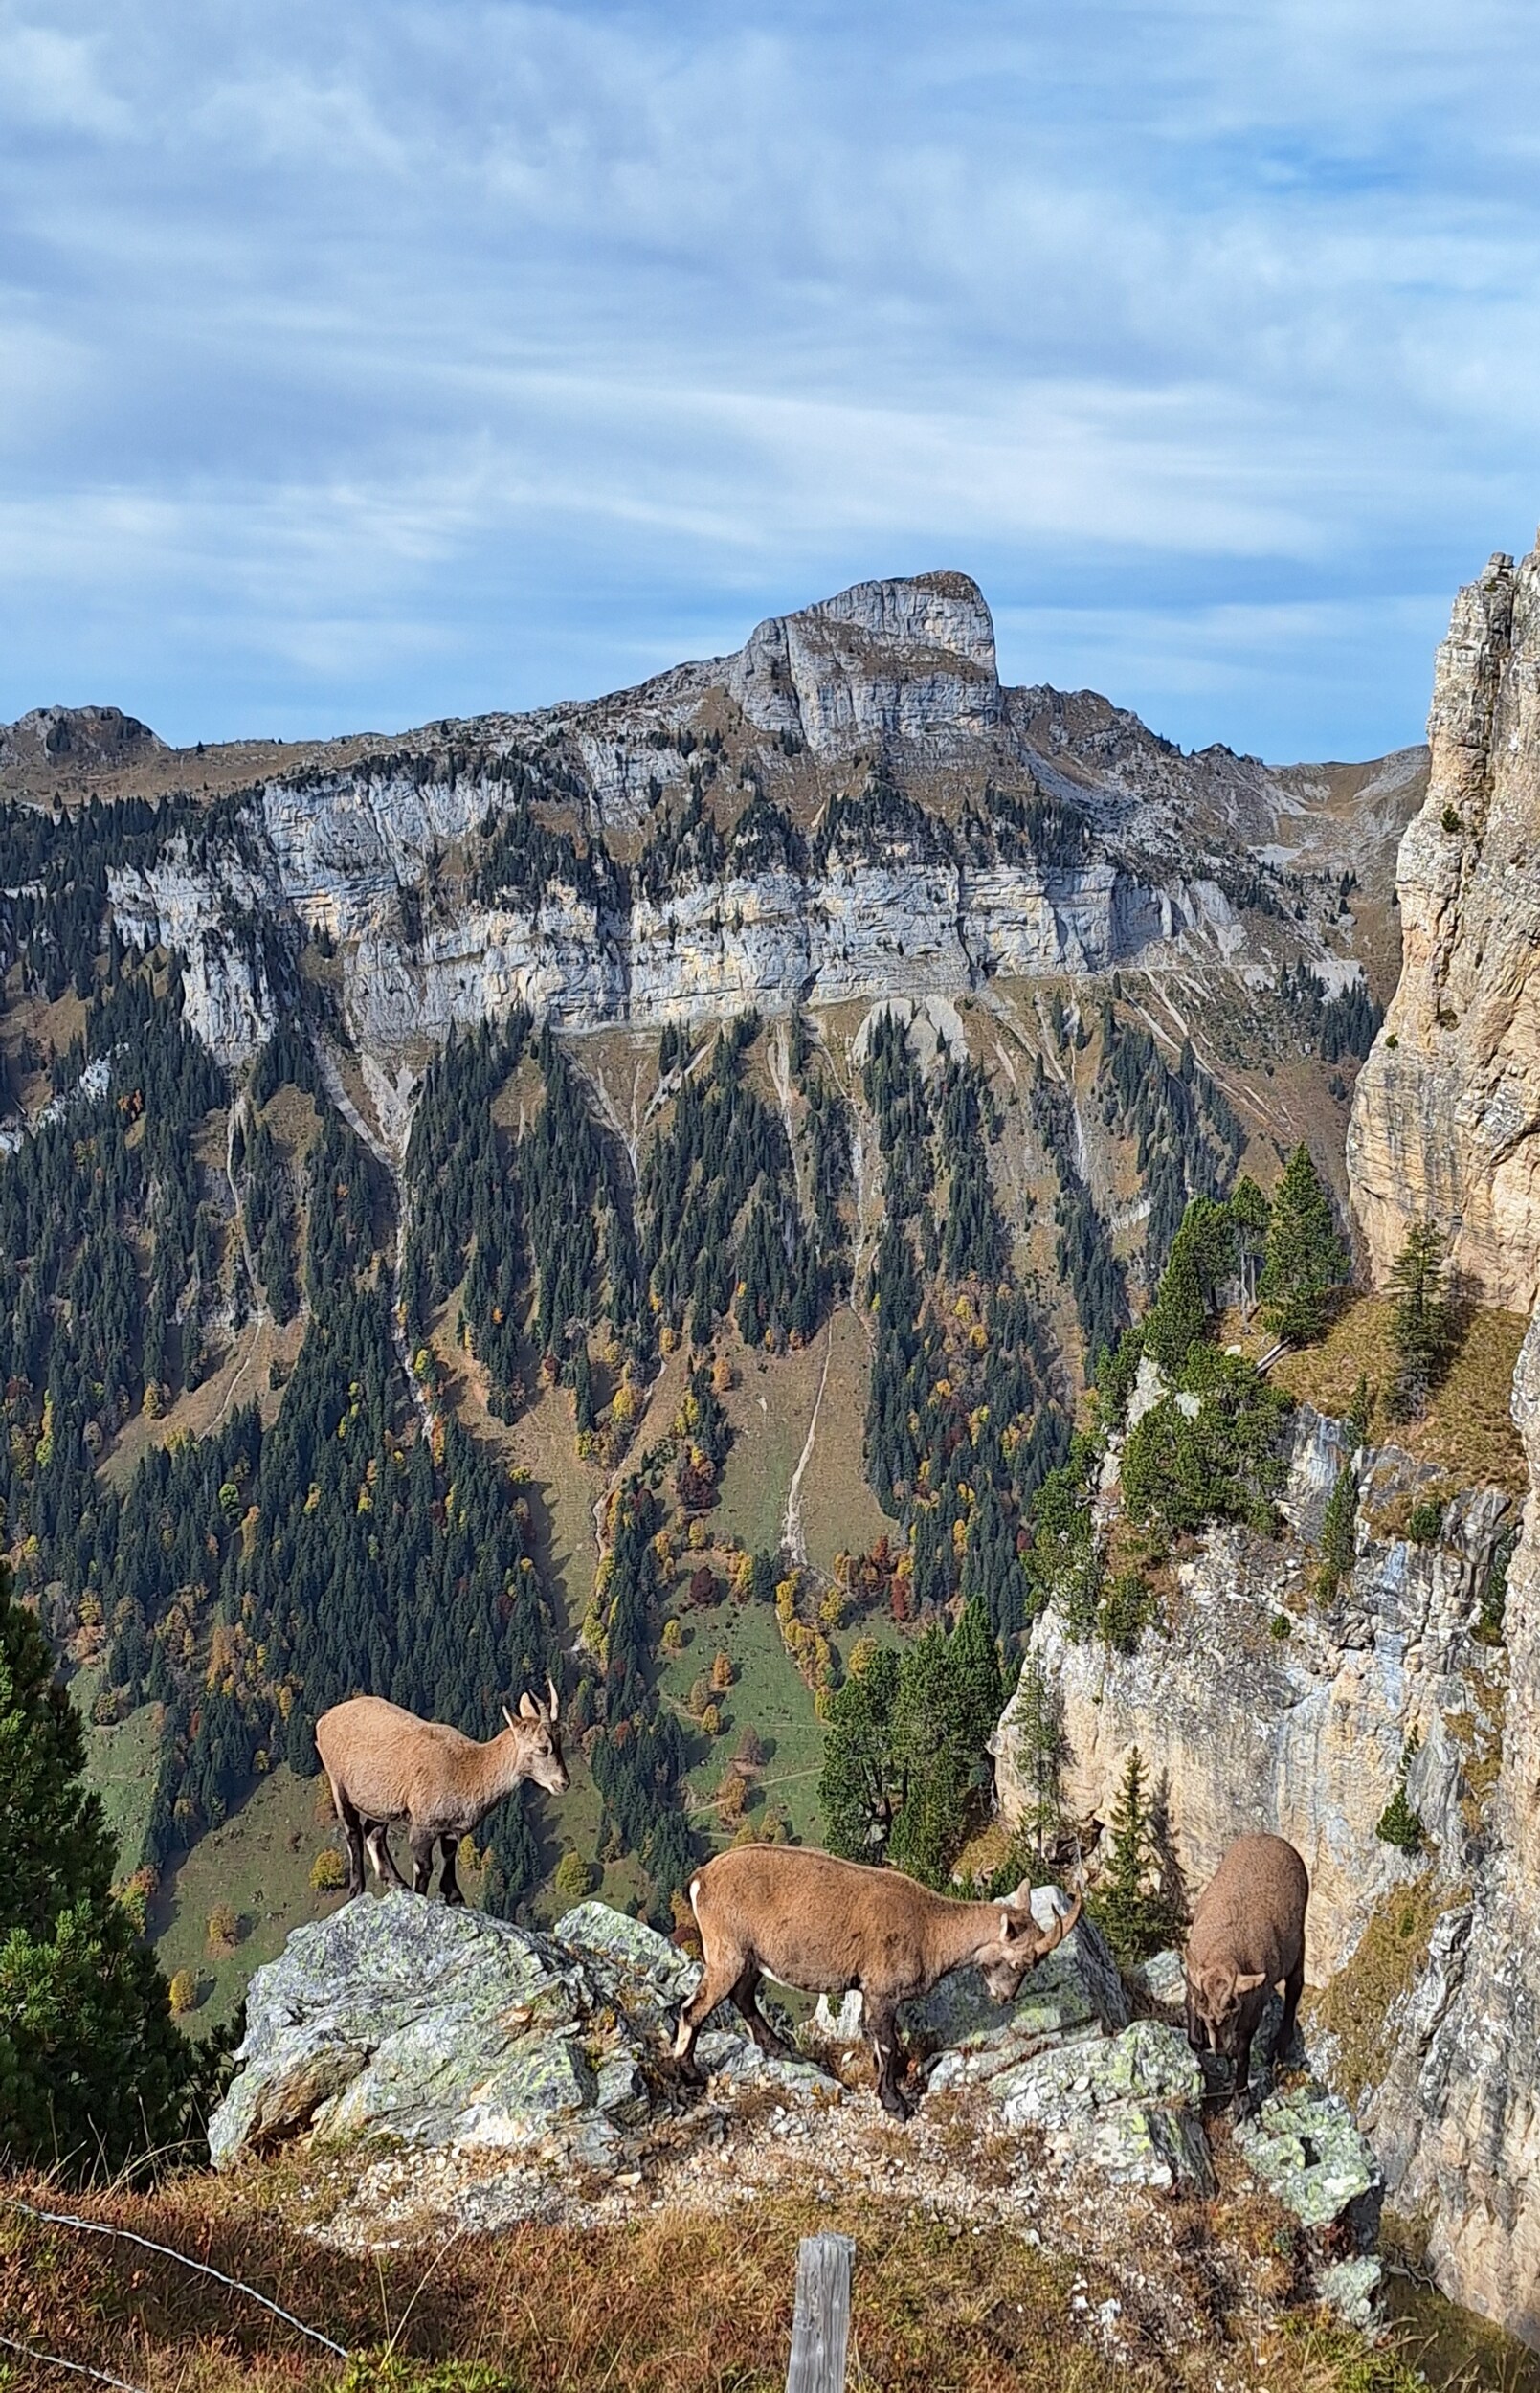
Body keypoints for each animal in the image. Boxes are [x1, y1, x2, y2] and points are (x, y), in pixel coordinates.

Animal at [314, 1682, 567, 1904]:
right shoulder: (423, 1826)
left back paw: (396, 1882)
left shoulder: (450, 1829)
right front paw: (421, 1897)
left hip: (380, 1801)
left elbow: (449, 1856)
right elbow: (424, 1867)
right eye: (543, 1748)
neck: (470, 1769)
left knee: (372, 1832)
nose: (563, 1783)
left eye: (560, 1741)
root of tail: (325, 1718)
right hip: (338, 1784)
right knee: (353, 1832)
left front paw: (454, 1896)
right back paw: (357, 1889)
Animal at [673, 1843, 1083, 2117]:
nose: (1004, 1998)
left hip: (750, 1960)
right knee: (694, 2008)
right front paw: (896, 2103)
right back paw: (689, 2072)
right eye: (1020, 1961)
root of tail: (700, 1880)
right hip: (727, 1952)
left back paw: (779, 2048)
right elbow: (886, 2042)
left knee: (742, 1997)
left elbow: (875, 2038)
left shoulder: (871, 1992)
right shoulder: (883, 1990)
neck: (930, 1929)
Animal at [1184, 1831, 1309, 2118]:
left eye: (1233, 2012)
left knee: (1295, 1986)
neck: (1224, 1948)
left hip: (1298, 1942)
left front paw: (1241, 2100)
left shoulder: (1251, 2012)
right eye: (1205, 2016)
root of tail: (1271, 1838)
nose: (1220, 2048)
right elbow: (1194, 2033)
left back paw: (1282, 2044)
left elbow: (1243, 2053)